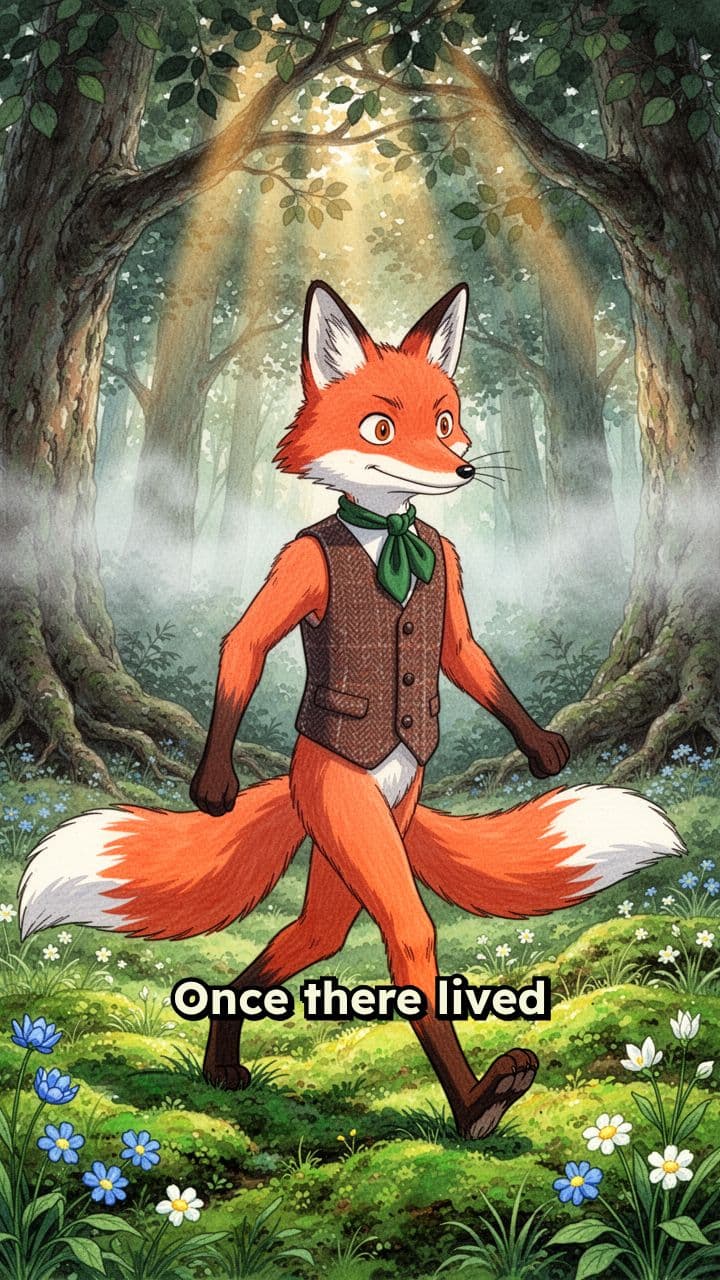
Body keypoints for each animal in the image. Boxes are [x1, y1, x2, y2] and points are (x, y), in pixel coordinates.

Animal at [19, 280, 684, 1140]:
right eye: (381, 427)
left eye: (445, 419)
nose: (463, 466)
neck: (389, 532)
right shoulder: (300, 566)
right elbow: (245, 643)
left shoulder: (448, 579)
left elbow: (462, 654)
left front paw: (539, 747)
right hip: (347, 816)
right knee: (371, 932)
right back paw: (455, 1104)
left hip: (377, 835)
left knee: (315, 932)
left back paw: (226, 1056)